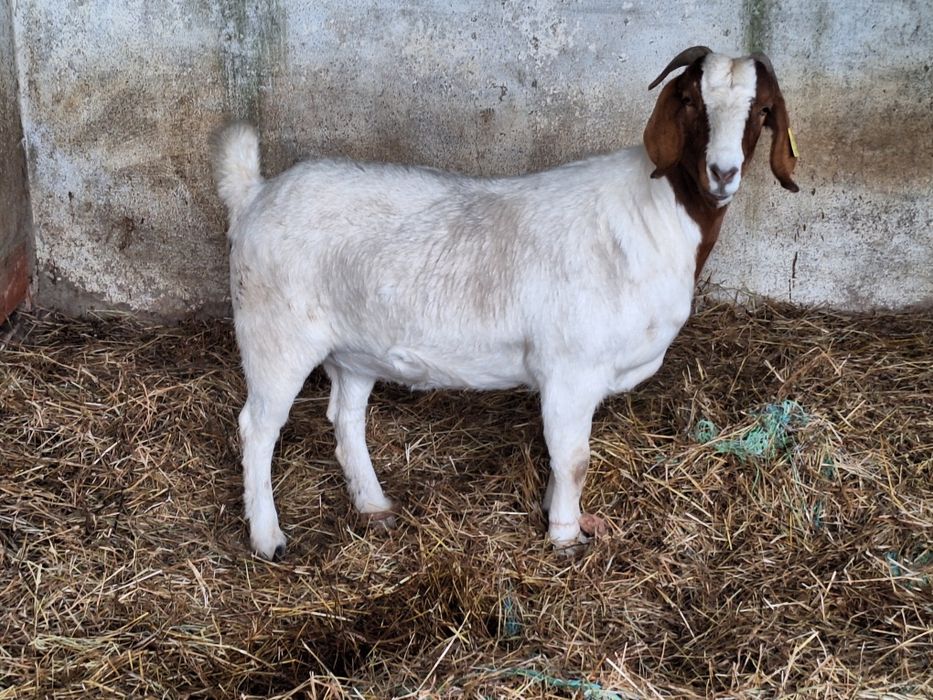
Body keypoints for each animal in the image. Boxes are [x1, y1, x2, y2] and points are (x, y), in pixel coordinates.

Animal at [212, 46, 798, 560]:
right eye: (691, 102)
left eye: (762, 111)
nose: (723, 172)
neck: (654, 214)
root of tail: (254, 194)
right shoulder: (571, 368)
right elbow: (574, 459)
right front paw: (565, 537)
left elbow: (562, 459)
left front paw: (554, 512)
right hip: (274, 336)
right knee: (257, 428)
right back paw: (268, 537)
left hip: (353, 348)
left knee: (347, 417)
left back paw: (374, 506)